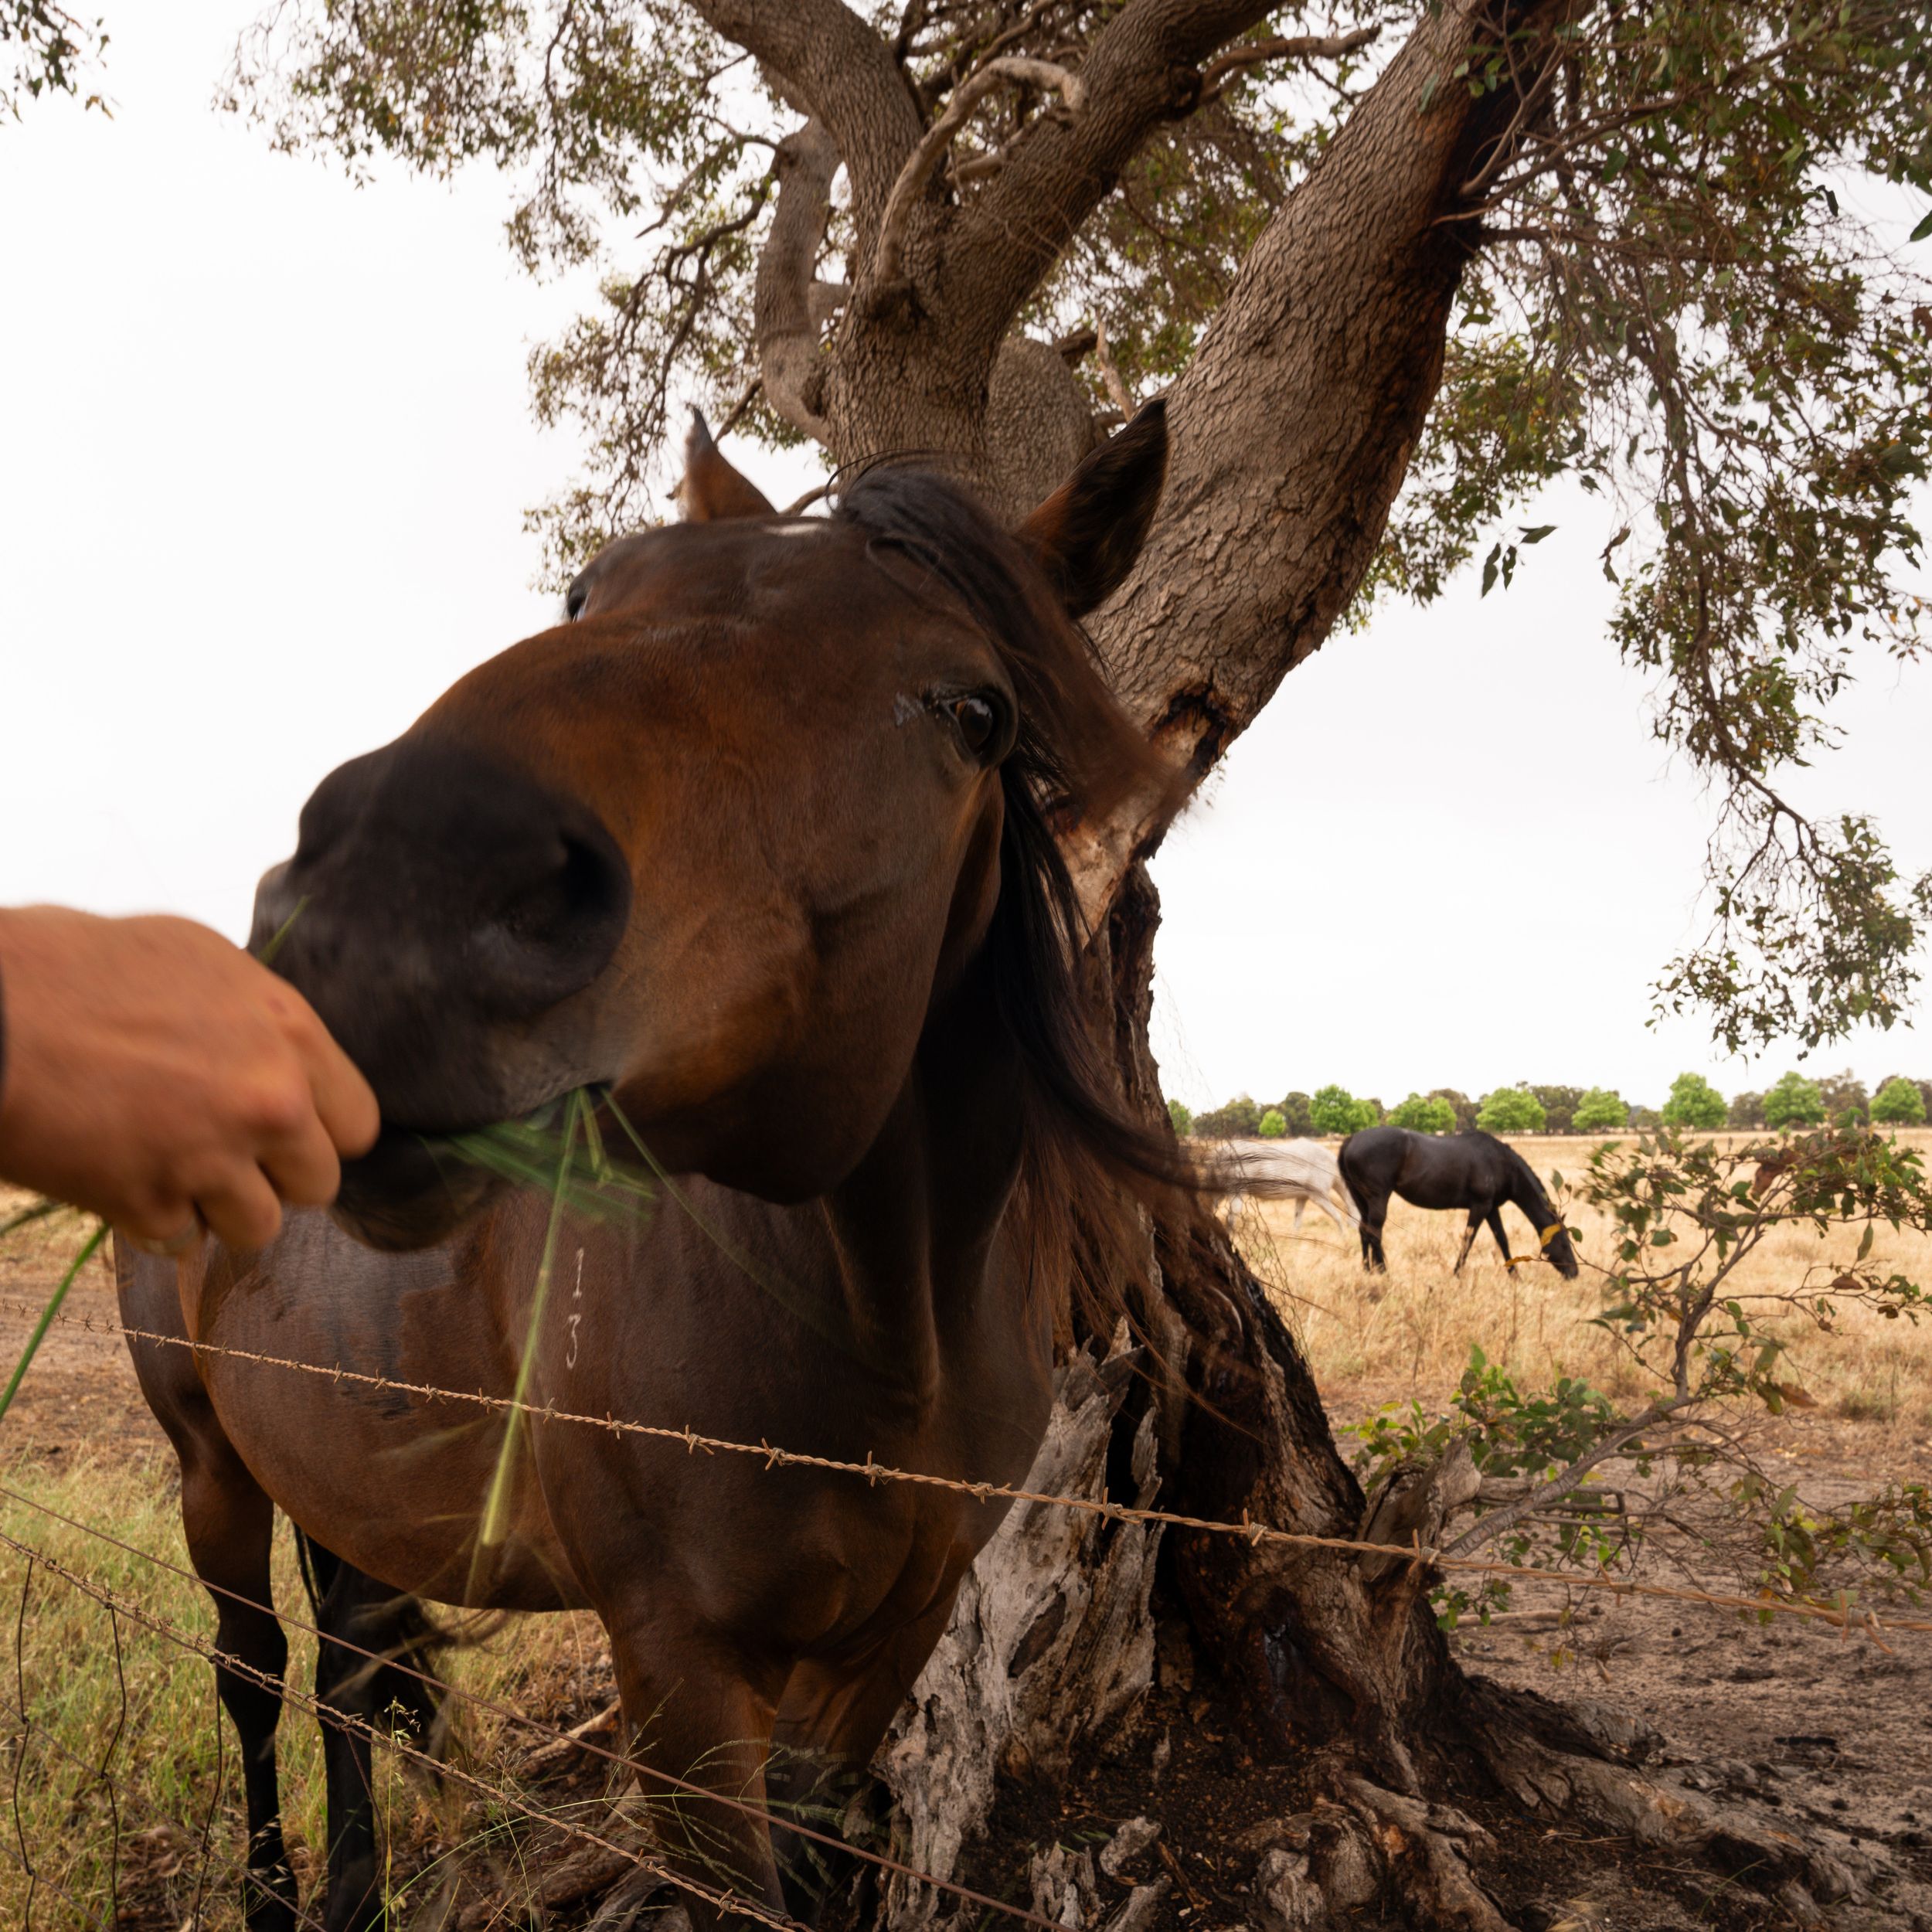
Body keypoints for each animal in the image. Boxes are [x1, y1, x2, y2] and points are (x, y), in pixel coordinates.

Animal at [117, 402, 1183, 1932]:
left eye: (975, 714)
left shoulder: (885, 1644)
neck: (886, 1337)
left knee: (346, 1674)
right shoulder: (680, 1672)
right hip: (207, 1459)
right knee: (252, 1678)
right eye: (586, 592)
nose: (379, 901)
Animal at [1211, 1137, 1360, 1239]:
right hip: (1236, 1192)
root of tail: (1221, 1152)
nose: (1356, 1235)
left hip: (1220, 1191)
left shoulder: (1302, 1197)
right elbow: (1337, 1216)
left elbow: (1297, 1220)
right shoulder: (1319, 1197)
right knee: (1232, 1215)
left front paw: (1295, 1238)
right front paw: (1343, 1235)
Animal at [1336, 1127, 1578, 1277]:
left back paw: (1368, 1270)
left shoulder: (1491, 1208)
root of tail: (1351, 1140)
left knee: (1364, 1230)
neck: (1501, 1163)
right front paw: (1457, 1273)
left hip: (1362, 1200)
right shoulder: (1480, 1206)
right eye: (1565, 1244)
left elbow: (1503, 1240)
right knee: (1375, 1232)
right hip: (1378, 1198)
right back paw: (1384, 1272)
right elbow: (1468, 1240)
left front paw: (1514, 1274)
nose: (1574, 1273)